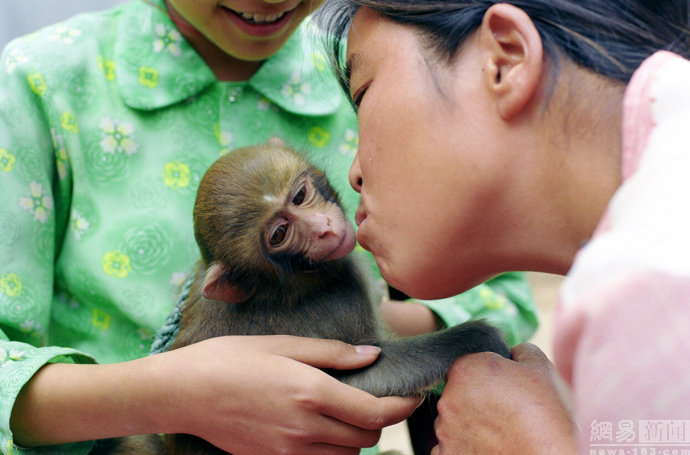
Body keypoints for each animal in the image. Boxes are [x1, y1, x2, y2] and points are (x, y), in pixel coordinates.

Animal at [103, 143, 510, 455]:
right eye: (280, 234)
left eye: (299, 197)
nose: (324, 229)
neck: (285, 285)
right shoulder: (339, 303)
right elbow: (353, 384)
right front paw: (476, 338)